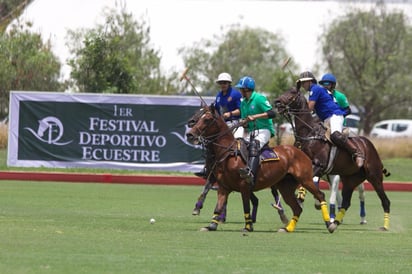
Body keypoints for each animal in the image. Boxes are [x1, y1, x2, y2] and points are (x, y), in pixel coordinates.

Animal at [187, 103, 338, 233]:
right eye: (198, 116)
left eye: (207, 119)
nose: (190, 134)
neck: (228, 153)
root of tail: (302, 152)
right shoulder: (223, 187)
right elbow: (218, 206)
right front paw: (211, 225)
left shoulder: (244, 186)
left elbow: (246, 206)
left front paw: (248, 227)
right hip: (286, 187)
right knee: (297, 208)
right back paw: (288, 228)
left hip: (306, 179)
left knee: (320, 195)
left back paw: (329, 224)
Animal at [276, 88, 392, 231]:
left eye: (292, 93)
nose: (277, 102)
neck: (310, 134)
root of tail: (368, 144)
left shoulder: (318, 165)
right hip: (350, 180)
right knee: (346, 202)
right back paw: (334, 223)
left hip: (375, 176)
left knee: (385, 201)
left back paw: (384, 226)